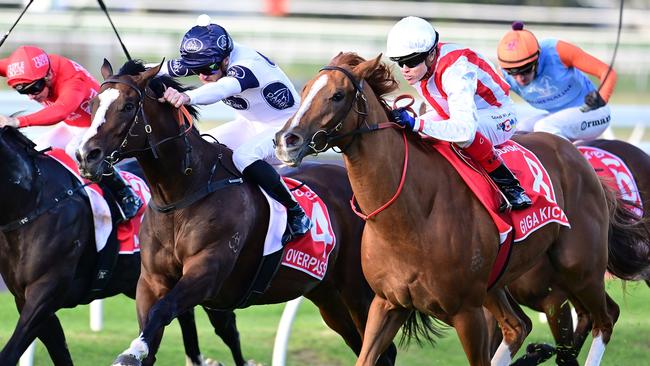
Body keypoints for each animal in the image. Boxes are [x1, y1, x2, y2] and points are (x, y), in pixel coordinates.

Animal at [0, 126, 248, 366]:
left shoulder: (46, 290)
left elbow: (11, 352)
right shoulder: (27, 299)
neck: (35, 200)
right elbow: (59, 351)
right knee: (184, 318)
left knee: (228, 329)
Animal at [73, 60, 392, 366]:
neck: (183, 193)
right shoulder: (152, 280)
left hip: (360, 292)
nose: (86, 155)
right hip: (328, 296)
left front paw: (132, 351)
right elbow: (151, 327)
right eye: (93, 104)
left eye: (128, 106)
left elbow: (163, 311)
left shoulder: (207, 271)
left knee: (382, 350)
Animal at [274, 53, 648, 366]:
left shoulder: (467, 312)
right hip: (501, 283)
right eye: (304, 89)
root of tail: (578, 157)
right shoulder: (387, 303)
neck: (409, 218)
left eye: (337, 95)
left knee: (605, 319)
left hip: (580, 268)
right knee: (519, 326)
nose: (286, 140)